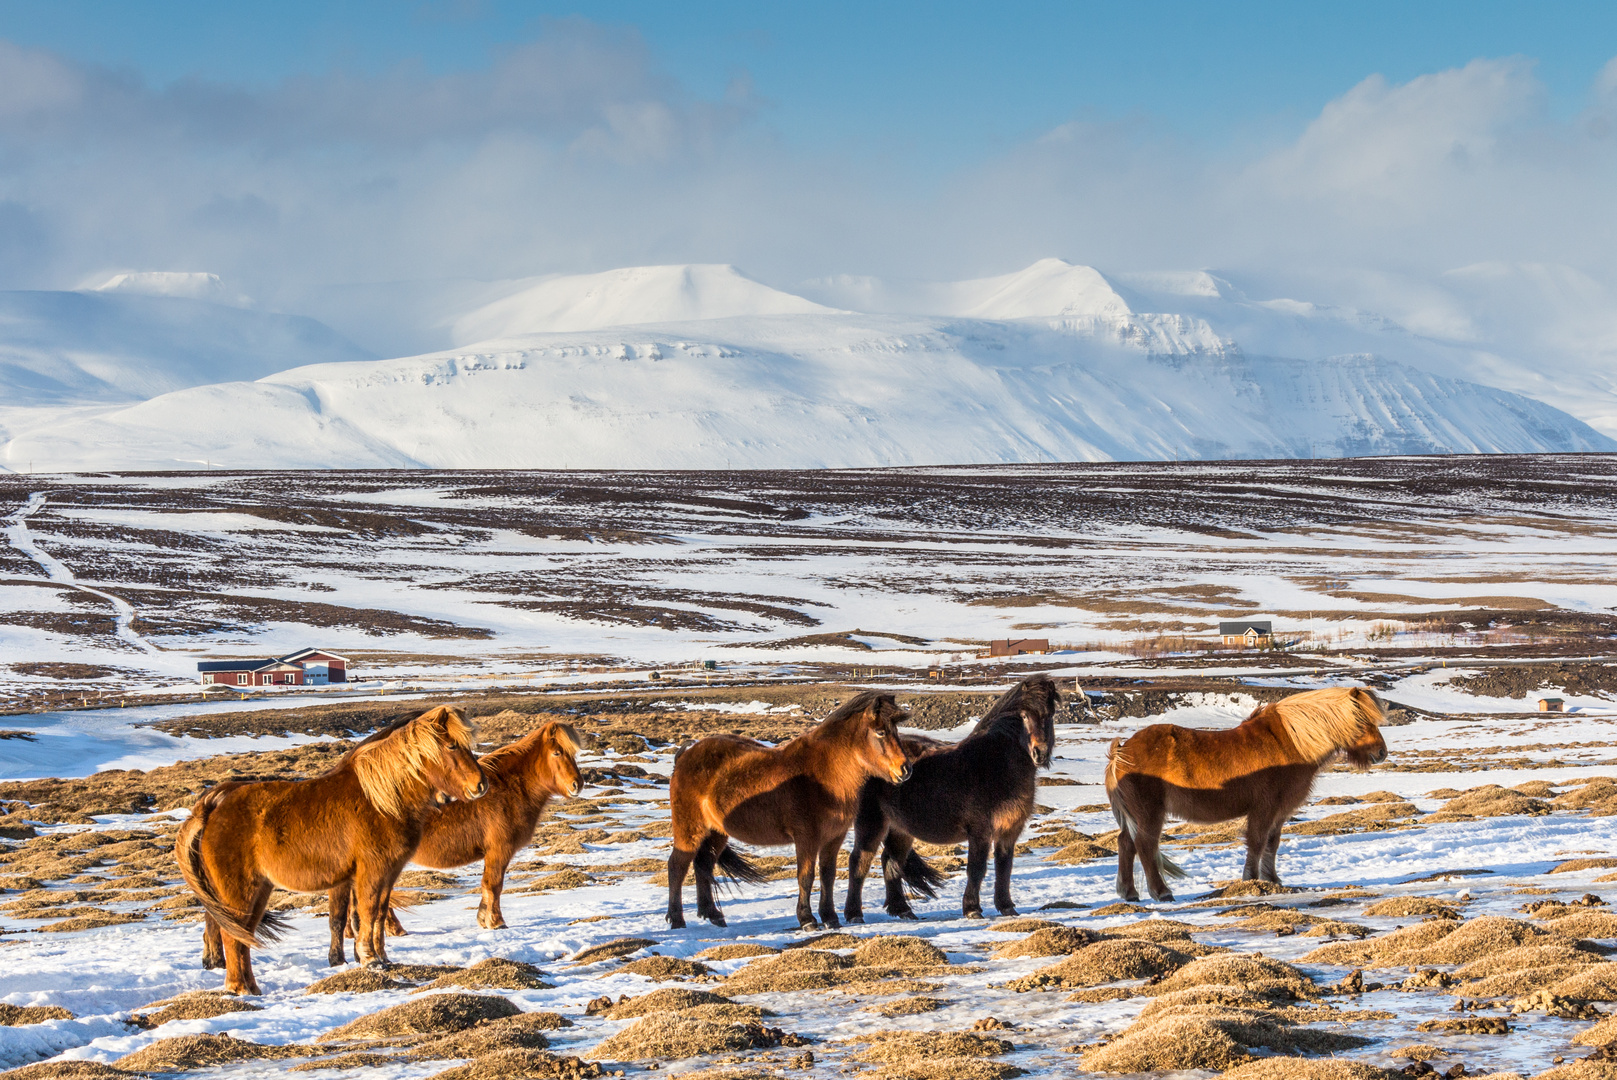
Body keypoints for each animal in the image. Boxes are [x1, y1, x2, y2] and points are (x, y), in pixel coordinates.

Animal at [181, 701, 485, 995]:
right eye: (451, 745)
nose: (481, 785)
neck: (381, 801)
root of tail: (212, 808)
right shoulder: (371, 872)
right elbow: (367, 912)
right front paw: (370, 959)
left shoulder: (387, 873)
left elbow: (376, 913)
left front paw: (381, 958)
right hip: (238, 891)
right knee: (231, 934)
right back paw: (238, 988)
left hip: (259, 890)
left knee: (243, 934)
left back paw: (252, 988)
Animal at [325, 717, 585, 963]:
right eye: (557, 752)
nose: (578, 784)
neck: (509, 788)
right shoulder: (499, 851)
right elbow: (493, 885)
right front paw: (496, 922)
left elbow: (487, 885)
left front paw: (482, 918)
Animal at [659, 691, 911, 931]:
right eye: (880, 732)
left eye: (895, 730)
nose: (905, 769)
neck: (825, 774)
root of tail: (685, 756)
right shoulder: (807, 837)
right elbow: (806, 877)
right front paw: (807, 919)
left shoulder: (834, 838)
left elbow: (827, 876)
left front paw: (830, 918)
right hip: (689, 829)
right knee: (677, 866)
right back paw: (676, 919)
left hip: (716, 832)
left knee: (703, 865)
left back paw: (713, 915)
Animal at [847, 675, 1060, 918]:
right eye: (1023, 715)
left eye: (1051, 714)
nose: (1039, 753)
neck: (995, 765)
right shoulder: (980, 831)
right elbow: (976, 869)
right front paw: (972, 909)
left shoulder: (1009, 831)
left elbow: (1004, 868)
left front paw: (1006, 907)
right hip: (871, 823)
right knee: (859, 862)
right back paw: (854, 914)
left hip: (900, 829)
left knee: (891, 862)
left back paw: (903, 910)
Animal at [1106, 682, 1384, 905]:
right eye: (1362, 721)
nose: (1381, 753)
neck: (1291, 743)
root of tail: (1121, 752)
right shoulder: (1264, 808)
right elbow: (1257, 842)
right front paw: (1251, 881)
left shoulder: (1279, 812)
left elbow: (1272, 843)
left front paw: (1273, 880)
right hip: (1149, 813)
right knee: (1145, 845)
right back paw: (1162, 892)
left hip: (1137, 815)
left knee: (1126, 844)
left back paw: (1130, 893)